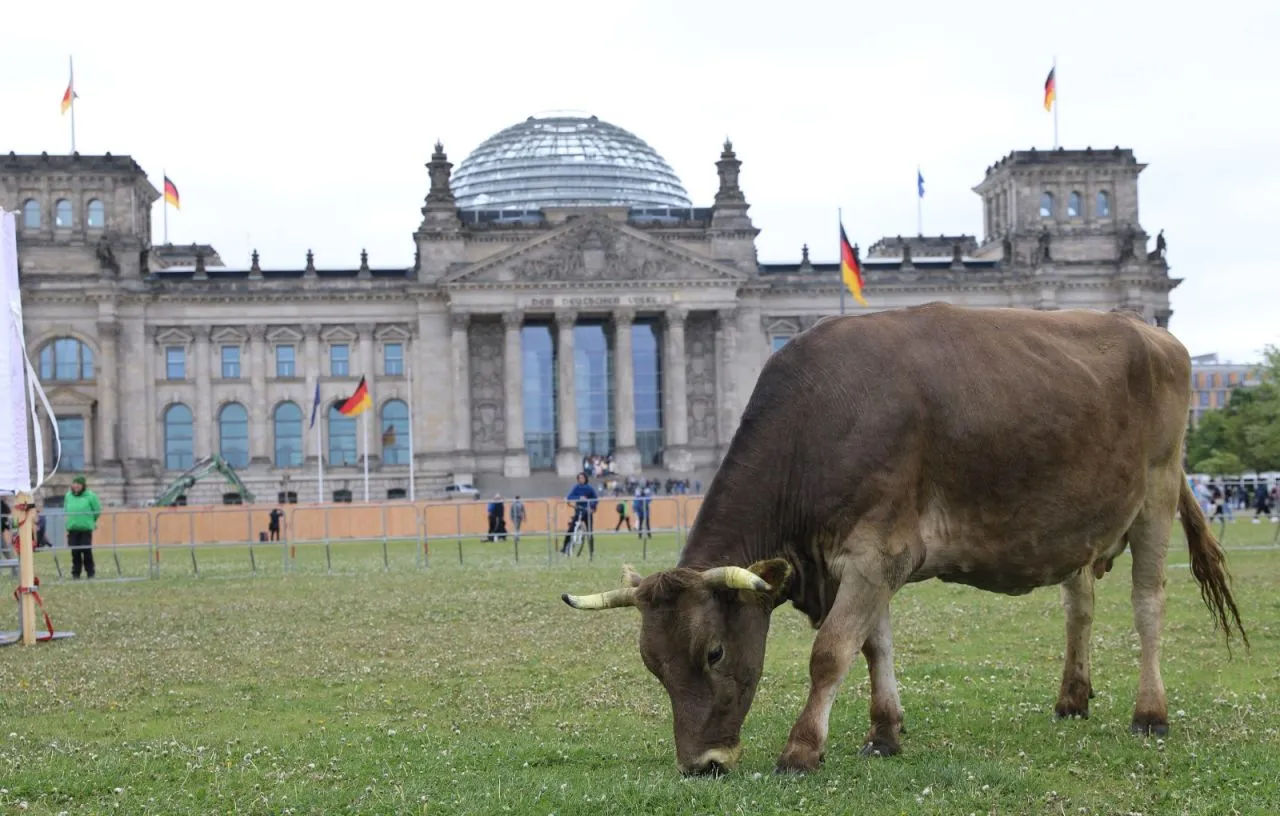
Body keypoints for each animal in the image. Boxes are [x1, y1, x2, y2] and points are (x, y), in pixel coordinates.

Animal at [563, 304, 1249, 777]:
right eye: (652, 663)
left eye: (713, 653)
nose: (702, 764)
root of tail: (1152, 331)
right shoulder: (864, 560)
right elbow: (874, 647)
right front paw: (884, 734)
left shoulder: (874, 552)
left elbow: (831, 652)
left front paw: (801, 751)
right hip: (1080, 522)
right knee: (1079, 606)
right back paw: (1072, 698)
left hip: (1156, 492)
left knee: (1148, 604)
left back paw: (1150, 713)